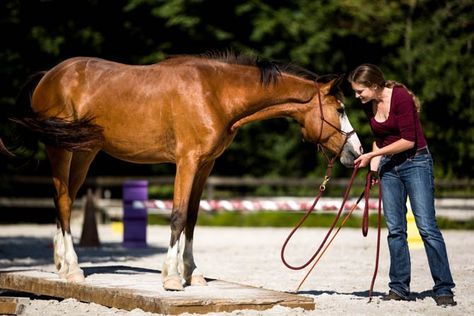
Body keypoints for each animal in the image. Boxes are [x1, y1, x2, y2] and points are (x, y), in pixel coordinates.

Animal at [0, 52, 362, 292]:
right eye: (340, 109)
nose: (356, 152)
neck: (215, 93)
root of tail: (48, 75)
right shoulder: (186, 161)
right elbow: (176, 215)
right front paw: (173, 277)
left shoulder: (205, 165)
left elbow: (192, 218)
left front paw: (193, 272)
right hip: (60, 149)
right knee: (62, 200)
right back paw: (73, 269)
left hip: (84, 151)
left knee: (65, 200)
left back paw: (61, 264)